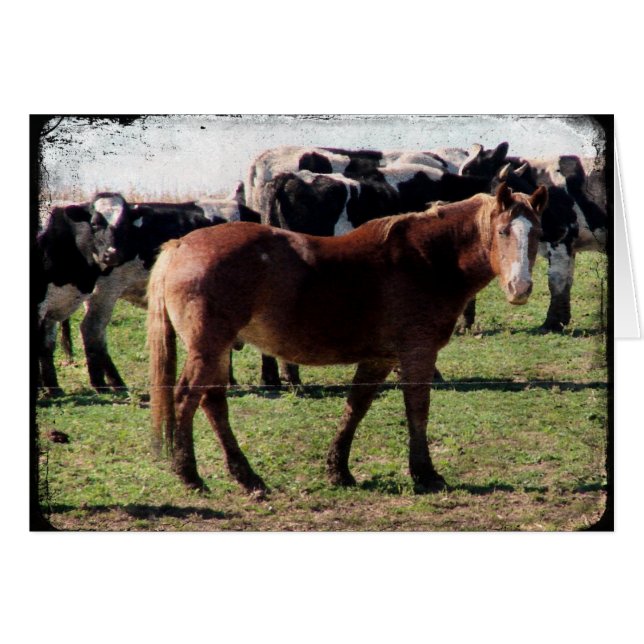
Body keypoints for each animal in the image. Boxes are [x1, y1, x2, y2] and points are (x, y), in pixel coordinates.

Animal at [146, 183, 547, 494]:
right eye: (503, 232)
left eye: (537, 234)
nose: (520, 288)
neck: (426, 259)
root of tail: (180, 246)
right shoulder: (417, 354)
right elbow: (417, 410)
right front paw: (425, 474)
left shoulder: (379, 359)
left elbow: (355, 408)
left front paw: (338, 471)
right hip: (209, 348)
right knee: (187, 399)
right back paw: (191, 476)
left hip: (216, 351)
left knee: (213, 404)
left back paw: (247, 478)